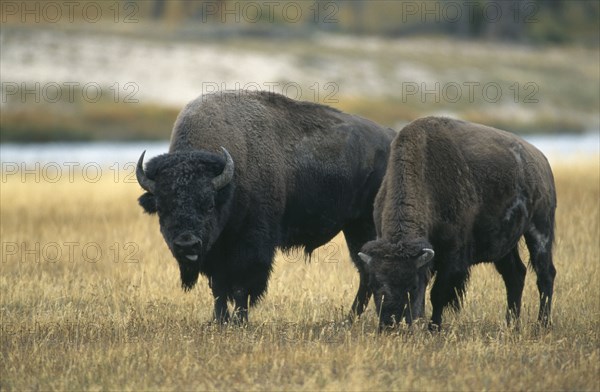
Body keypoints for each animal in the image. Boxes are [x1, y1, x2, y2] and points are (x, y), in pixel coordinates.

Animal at [138, 90, 396, 324]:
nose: (186, 244)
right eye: (162, 208)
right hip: (353, 227)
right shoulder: (215, 252)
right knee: (365, 270)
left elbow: (242, 287)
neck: (229, 183)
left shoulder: (251, 244)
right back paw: (351, 319)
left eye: (209, 205)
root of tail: (390, 137)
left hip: (366, 225)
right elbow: (218, 288)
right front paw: (220, 321)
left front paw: (240, 321)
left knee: (368, 270)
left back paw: (354, 319)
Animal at [356, 117, 556, 330]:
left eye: (413, 285)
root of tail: (541, 160)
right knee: (515, 276)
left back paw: (542, 324)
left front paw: (434, 328)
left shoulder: (452, 258)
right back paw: (511, 324)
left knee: (545, 275)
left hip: (540, 230)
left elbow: (438, 294)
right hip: (505, 246)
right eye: (375, 285)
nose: (392, 323)